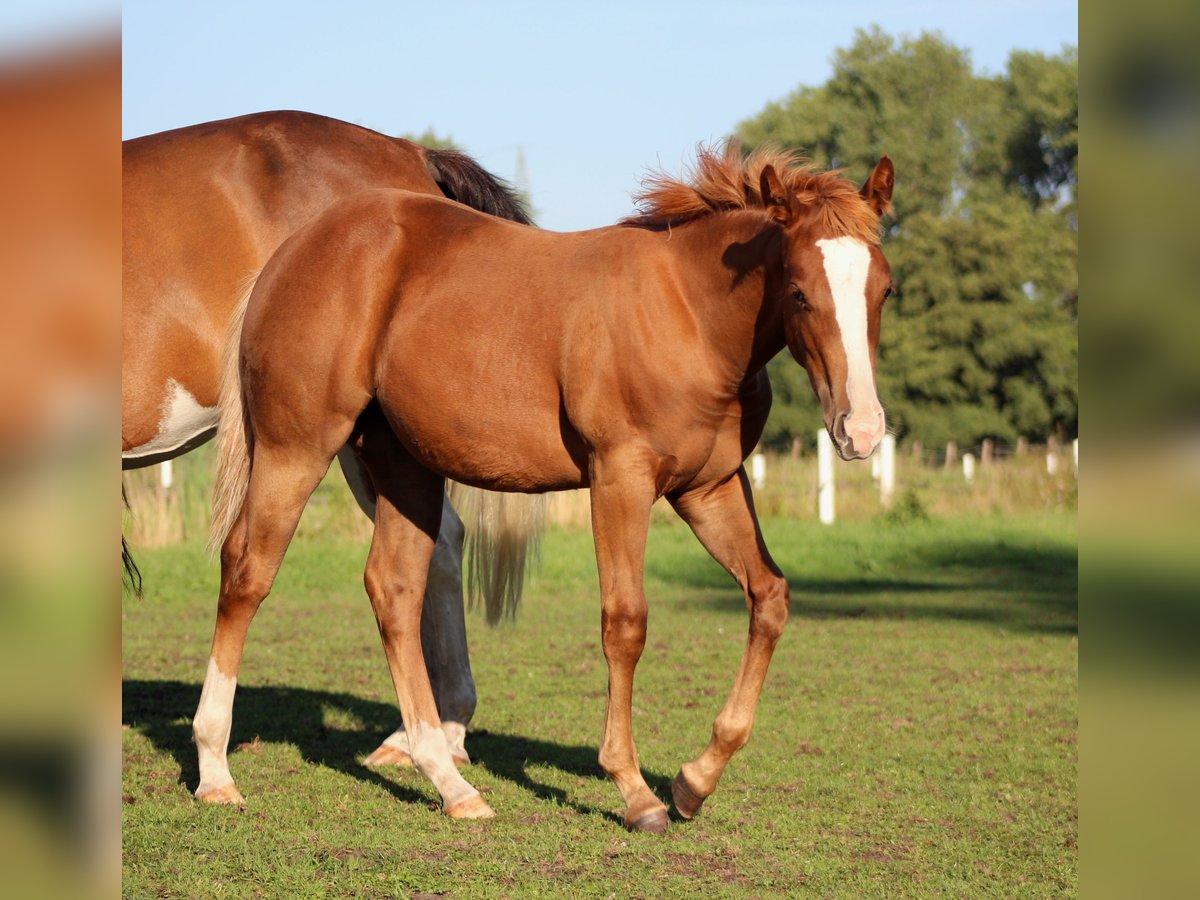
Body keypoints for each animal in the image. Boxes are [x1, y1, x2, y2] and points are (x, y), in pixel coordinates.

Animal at [205, 141, 895, 831]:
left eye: (885, 288)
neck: (690, 317)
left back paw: (451, 783)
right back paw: (215, 771)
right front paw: (635, 791)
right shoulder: (620, 479)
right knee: (247, 570)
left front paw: (694, 781)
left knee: (394, 589)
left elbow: (769, 598)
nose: (859, 431)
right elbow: (625, 621)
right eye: (799, 291)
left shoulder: (710, 487)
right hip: (297, 448)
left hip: (403, 467)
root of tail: (290, 254)